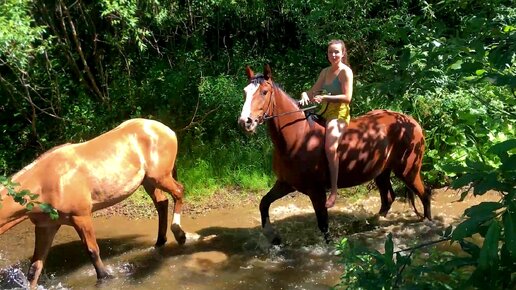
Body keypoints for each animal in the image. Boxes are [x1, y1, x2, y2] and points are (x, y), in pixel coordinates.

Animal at [0, 118, 185, 288]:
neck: (47, 181)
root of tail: (166, 129)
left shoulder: (81, 217)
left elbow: (92, 251)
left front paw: (106, 277)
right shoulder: (46, 227)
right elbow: (35, 267)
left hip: (160, 177)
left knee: (179, 192)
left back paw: (179, 234)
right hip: (149, 182)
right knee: (162, 203)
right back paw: (160, 241)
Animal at [239, 64, 432, 244]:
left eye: (264, 92)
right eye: (245, 92)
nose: (245, 122)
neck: (298, 137)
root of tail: (411, 121)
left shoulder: (316, 191)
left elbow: (324, 225)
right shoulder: (285, 183)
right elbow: (264, 203)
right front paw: (273, 237)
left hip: (408, 171)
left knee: (425, 194)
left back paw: (429, 224)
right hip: (382, 172)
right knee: (388, 198)